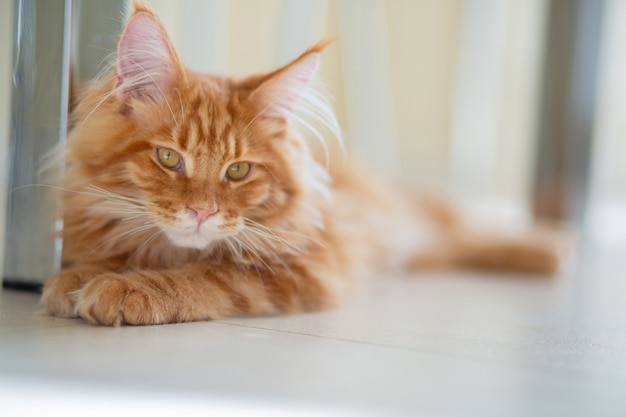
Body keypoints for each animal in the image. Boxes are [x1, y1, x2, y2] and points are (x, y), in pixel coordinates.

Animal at [41, 0, 564, 324]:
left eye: (238, 170)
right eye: (169, 158)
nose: (202, 212)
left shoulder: (304, 267)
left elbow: (208, 275)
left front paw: (130, 288)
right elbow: (108, 257)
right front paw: (76, 279)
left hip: (410, 220)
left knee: (465, 227)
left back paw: (552, 249)